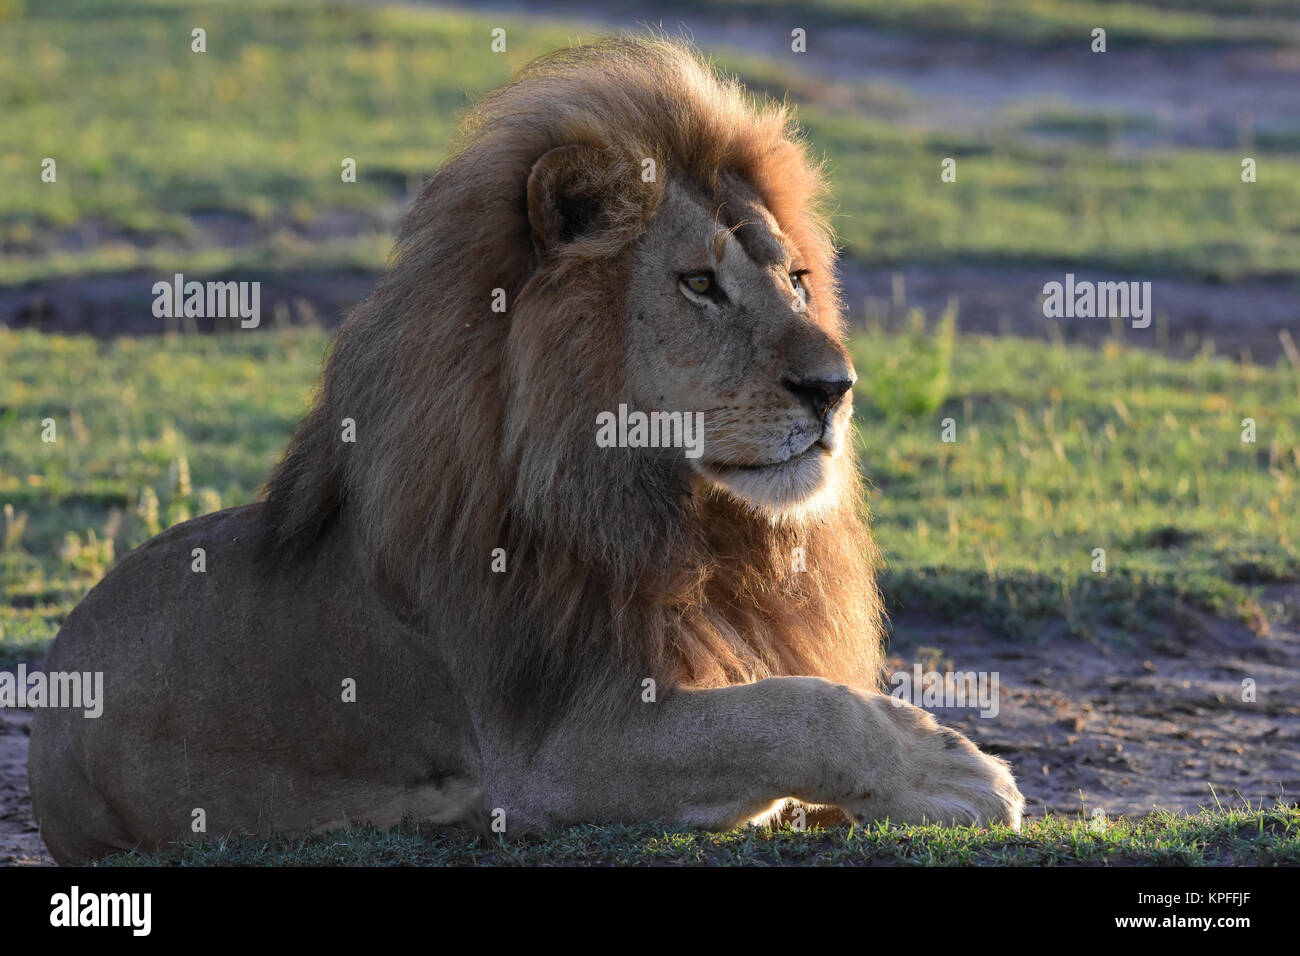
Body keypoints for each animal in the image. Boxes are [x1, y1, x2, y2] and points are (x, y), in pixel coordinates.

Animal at [25, 37, 1019, 863]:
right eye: (699, 284)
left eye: (800, 279)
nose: (835, 387)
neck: (670, 516)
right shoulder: (552, 759)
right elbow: (796, 710)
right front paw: (952, 772)